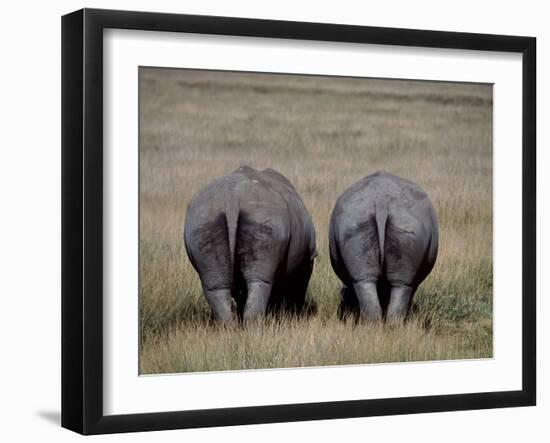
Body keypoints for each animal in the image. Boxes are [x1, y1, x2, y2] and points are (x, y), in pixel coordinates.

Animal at [184, 166, 316, 322]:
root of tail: (232, 198)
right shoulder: (309, 257)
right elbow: (299, 287)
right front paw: (294, 314)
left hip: (202, 221)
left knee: (216, 286)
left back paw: (230, 325)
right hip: (263, 216)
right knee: (260, 281)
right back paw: (255, 326)